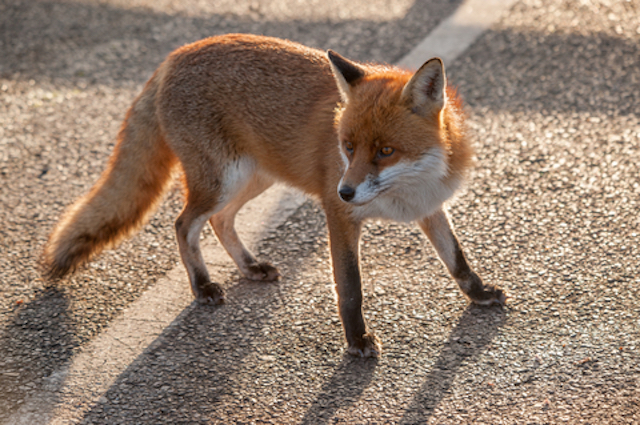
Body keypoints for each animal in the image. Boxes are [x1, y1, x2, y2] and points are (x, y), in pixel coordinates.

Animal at [43, 33, 504, 356]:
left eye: (385, 151)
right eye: (348, 146)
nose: (345, 190)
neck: (410, 188)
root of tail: (177, 54)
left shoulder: (431, 207)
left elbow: (457, 260)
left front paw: (479, 294)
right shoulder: (339, 217)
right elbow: (350, 288)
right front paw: (356, 342)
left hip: (254, 178)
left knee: (220, 221)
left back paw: (249, 267)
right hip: (222, 181)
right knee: (183, 223)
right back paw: (202, 286)